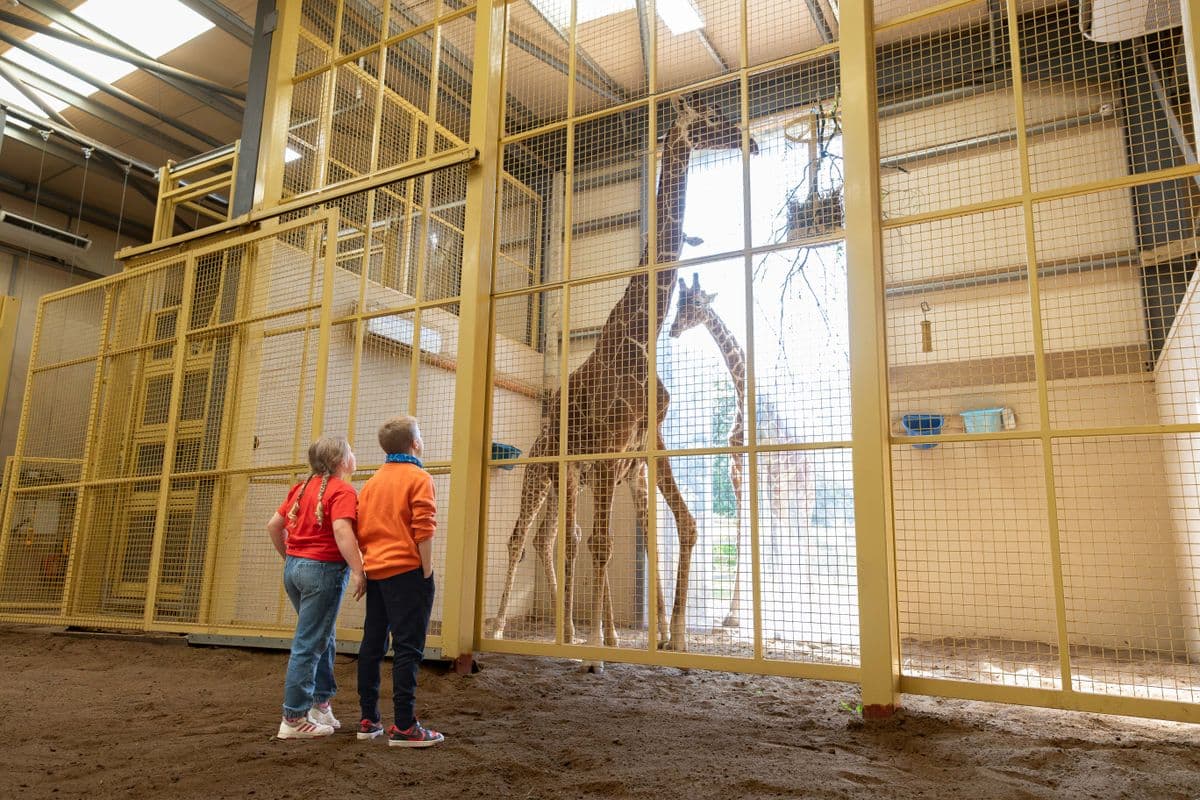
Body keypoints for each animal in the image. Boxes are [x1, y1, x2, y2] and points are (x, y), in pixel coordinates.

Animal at [491, 92, 758, 652]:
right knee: (529, 537)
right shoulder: (613, 445)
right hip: (548, 472)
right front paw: (602, 642)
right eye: (709, 115)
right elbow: (601, 544)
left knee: (557, 540)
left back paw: (576, 629)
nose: (750, 138)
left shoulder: (641, 448)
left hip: (578, 476)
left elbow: (675, 528)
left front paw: (660, 637)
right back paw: (514, 627)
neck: (642, 331)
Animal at [668, 273, 814, 628]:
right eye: (679, 302)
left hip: (803, 485)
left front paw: (743, 613)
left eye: (697, 303)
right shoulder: (735, 468)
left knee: (803, 530)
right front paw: (734, 613)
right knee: (784, 526)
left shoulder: (753, 468)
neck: (742, 396)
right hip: (779, 484)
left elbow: (755, 532)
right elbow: (741, 532)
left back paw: (806, 600)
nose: (673, 328)